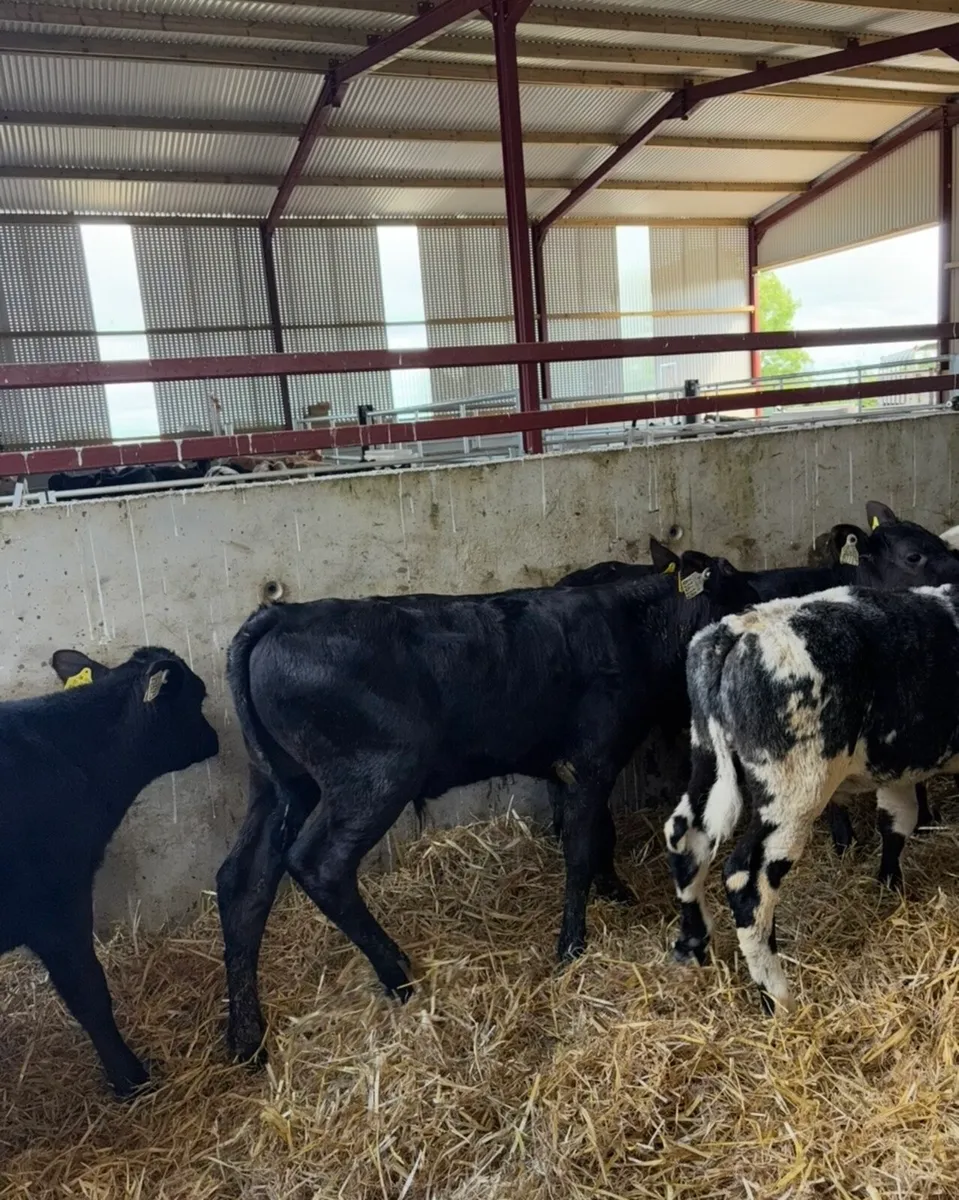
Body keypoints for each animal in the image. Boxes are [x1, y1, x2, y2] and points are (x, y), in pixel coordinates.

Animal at [216, 549, 760, 1064]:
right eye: (739, 591)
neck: (633, 627)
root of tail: (281, 614)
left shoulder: (567, 767)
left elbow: (593, 833)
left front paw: (615, 891)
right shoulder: (590, 760)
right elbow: (580, 847)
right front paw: (572, 947)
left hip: (279, 784)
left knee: (244, 882)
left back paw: (247, 1039)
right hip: (372, 778)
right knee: (318, 864)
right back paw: (397, 973)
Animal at [664, 577, 959, 1015]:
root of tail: (737, 630)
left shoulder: (895, 764)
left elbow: (896, 820)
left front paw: (890, 886)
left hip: (705, 757)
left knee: (686, 838)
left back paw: (692, 946)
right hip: (793, 792)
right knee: (748, 881)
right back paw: (777, 998)